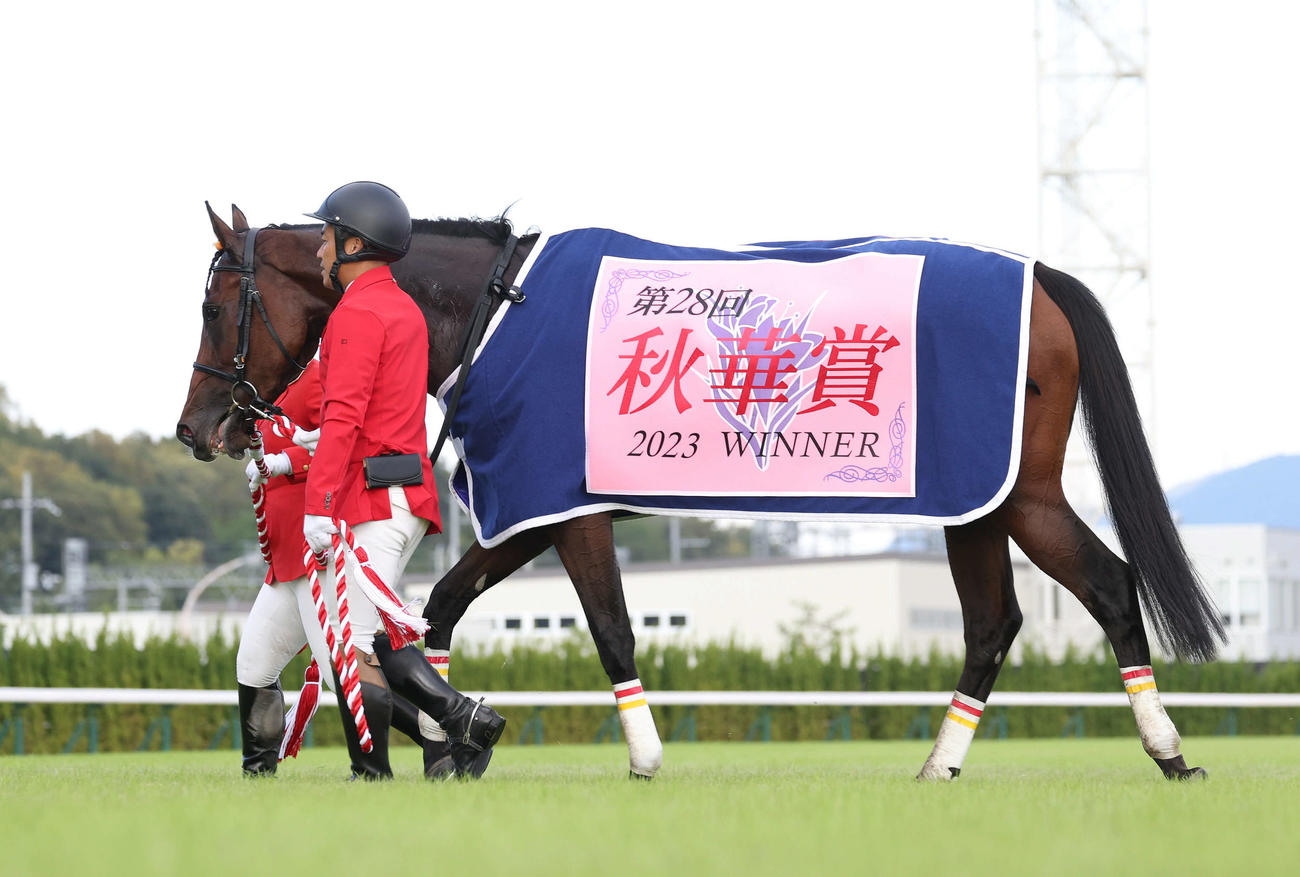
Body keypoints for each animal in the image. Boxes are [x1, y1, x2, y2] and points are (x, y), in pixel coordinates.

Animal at [177, 203, 1224, 781]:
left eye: (216, 304)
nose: (200, 430)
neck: (498, 309)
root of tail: (1041, 278)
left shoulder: (561, 506)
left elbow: (607, 629)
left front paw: (636, 754)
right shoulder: (537, 511)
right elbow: (437, 605)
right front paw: (446, 734)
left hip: (1016, 495)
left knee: (1103, 587)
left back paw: (1165, 747)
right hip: (977, 503)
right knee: (1001, 620)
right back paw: (949, 760)